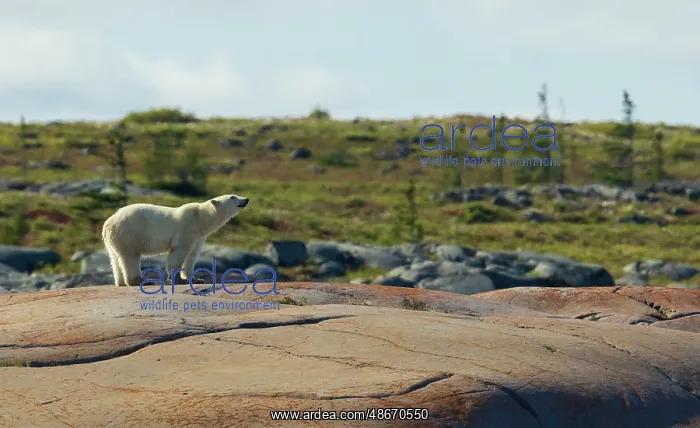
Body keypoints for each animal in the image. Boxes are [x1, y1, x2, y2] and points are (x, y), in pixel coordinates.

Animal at [101, 194, 249, 287]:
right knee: (130, 257)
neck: (200, 218)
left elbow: (192, 255)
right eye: (232, 197)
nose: (246, 199)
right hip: (129, 233)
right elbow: (179, 252)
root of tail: (108, 223)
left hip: (113, 239)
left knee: (115, 258)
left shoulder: (199, 236)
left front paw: (196, 279)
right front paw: (178, 280)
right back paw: (141, 281)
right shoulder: (186, 226)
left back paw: (120, 282)